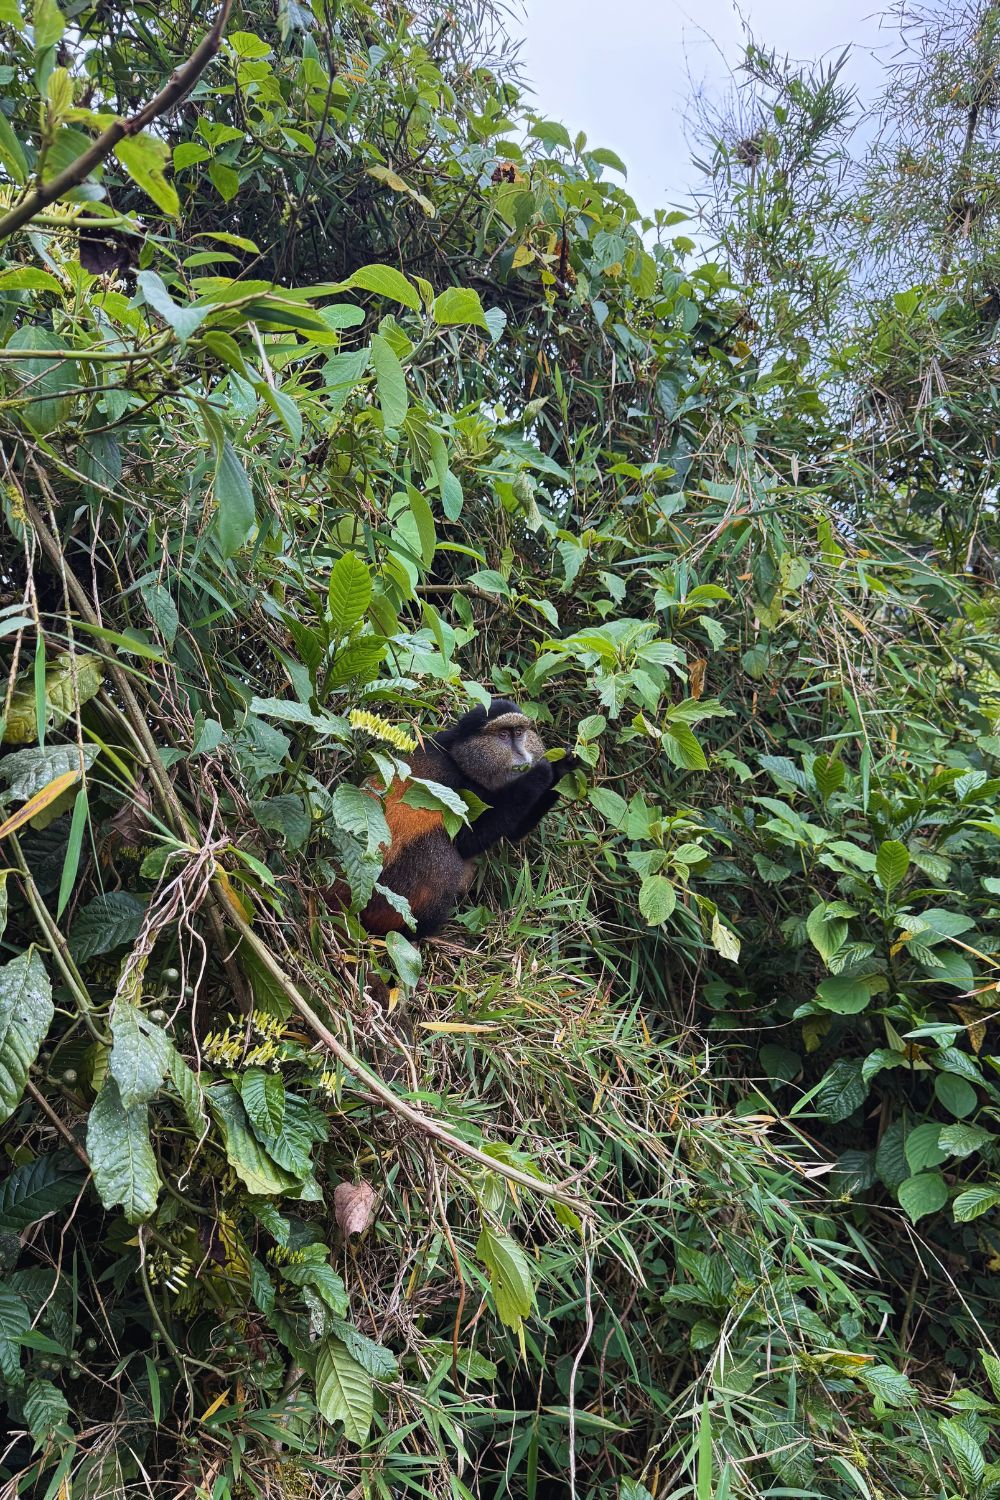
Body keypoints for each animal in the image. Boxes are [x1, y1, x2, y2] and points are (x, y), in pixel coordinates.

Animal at [341, 699, 579, 940]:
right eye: (503, 735)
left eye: (519, 733)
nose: (522, 754)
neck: (460, 761)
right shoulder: (453, 787)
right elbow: (467, 841)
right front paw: (540, 772)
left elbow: (513, 831)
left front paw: (563, 765)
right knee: (442, 854)